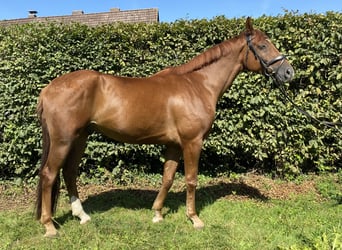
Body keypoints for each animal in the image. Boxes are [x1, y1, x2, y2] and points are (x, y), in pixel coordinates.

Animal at [36, 18, 296, 236]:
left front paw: (158, 214)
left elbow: (168, 178)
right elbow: (191, 178)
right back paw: (49, 226)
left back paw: (82, 216)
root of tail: (48, 89)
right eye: (262, 46)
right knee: (49, 174)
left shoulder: (174, 145)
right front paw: (194, 218)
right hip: (63, 140)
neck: (198, 84)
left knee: (69, 172)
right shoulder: (192, 142)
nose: (288, 72)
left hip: (80, 138)